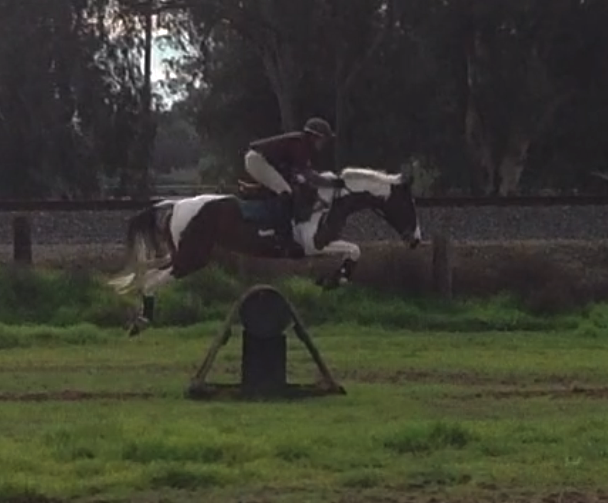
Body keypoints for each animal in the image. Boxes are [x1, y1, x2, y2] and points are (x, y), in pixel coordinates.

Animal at [108, 166, 422, 335]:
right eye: (408, 204)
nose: (416, 240)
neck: (334, 199)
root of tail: (175, 205)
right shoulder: (315, 244)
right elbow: (355, 250)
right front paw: (335, 279)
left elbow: (353, 251)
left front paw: (332, 279)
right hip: (191, 259)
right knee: (150, 280)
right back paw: (142, 321)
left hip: (183, 256)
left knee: (148, 273)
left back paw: (139, 318)